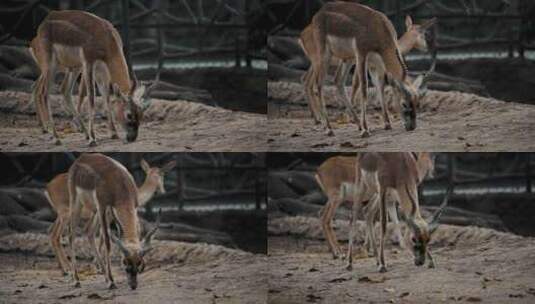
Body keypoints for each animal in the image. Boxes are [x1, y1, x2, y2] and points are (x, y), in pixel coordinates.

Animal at [32, 10, 156, 146]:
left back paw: (83, 133)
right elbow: (91, 97)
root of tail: (45, 21)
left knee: (64, 91)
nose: (132, 137)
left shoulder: (102, 69)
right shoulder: (88, 62)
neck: (106, 37)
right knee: (44, 92)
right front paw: (93, 139)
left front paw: (113, 133)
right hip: (51, 66)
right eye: (129, 114)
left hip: (73, 67)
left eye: (141, 113)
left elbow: (106, 97)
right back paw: (56, 137)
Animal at [45, 159, 176, 276]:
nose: (162, 190)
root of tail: (48, 186)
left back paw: (64, 269)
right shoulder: (105, 215)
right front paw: (98, 266)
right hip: (65, 215)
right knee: (57, 235)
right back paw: (67, 270)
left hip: (61, 216)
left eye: (161, 174)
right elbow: (101, 236)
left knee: (51, 233)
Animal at [68, 154, 163, 290]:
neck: (120, 182)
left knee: (88, 232)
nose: (133, 285)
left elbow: (135, 232)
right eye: (125, 262)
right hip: (77, 203)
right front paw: (112, 282)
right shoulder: (102, 207)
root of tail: (81, 158)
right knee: (72, 235)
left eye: (138, 263)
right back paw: (76, 280)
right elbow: (108, 242)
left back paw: (102, 275)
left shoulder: (132, 207)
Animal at [308, 2, 434, 137]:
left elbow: (380, 87)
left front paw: (387, 124)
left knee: (338, 81)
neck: (379, 28)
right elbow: (364, 88)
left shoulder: (377, 63)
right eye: (404, 104)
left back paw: (356, 124)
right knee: (319, 84)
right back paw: (329, 129)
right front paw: (366, 130)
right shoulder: (361, 55)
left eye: (417, 102)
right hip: (325, 55)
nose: (412, 127)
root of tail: (320, 11)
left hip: (347, 58)